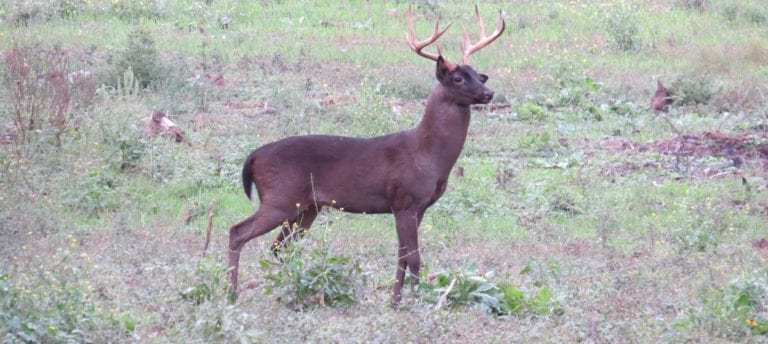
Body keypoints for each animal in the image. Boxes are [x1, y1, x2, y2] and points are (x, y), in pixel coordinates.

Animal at [228, 6, 504, 304]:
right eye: (458, 78)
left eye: (477, 74)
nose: (489, 92)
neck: (428, 155)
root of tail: (253, 157)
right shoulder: (404, 201)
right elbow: (414, 257)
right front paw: (418, 301)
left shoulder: (417, 207)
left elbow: (401, 256)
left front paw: (395, 301)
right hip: (280, 198)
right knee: (238, 232)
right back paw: (232, 293)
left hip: (307, 207)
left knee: (280, 247)